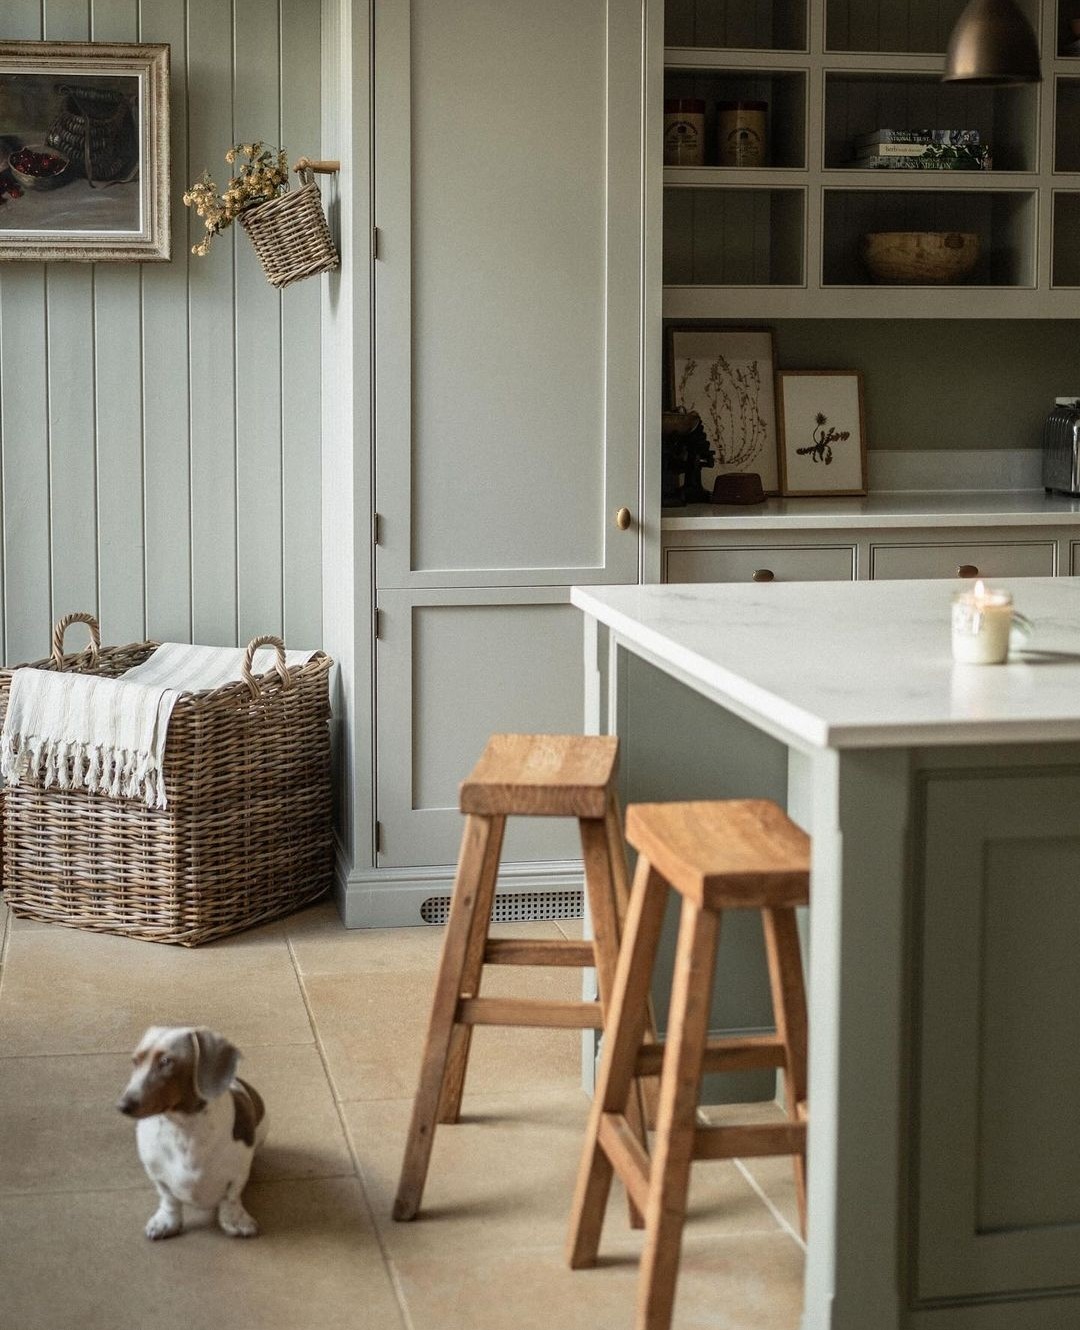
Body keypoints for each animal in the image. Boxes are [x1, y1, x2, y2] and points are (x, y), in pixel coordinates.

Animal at [116, 1026, 270, 1234]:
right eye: (135, 1060)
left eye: (166, 1061)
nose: (122, 1106)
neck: (183, 1128)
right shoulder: (157, 1175)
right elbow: (169, 1199)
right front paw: (166, 1222)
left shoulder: (238, 1173)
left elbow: (231, 1197)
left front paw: (235, 1221)